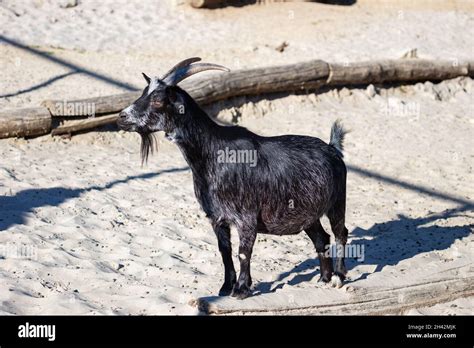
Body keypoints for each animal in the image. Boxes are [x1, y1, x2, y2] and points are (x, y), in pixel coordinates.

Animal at [117, 57, 348, 300]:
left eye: (158, 100)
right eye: (143, 93)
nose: (122, 117)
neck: (213, 154)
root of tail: (333, 149)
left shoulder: (246, 218)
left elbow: (243, 252)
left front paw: (241, 289)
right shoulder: (217, 217)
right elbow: (225, 252)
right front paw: (225, 287)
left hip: (337, 202)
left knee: (340, 232)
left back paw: (338, 277)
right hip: (308, 214)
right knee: (322, 238)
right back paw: (324, 278)